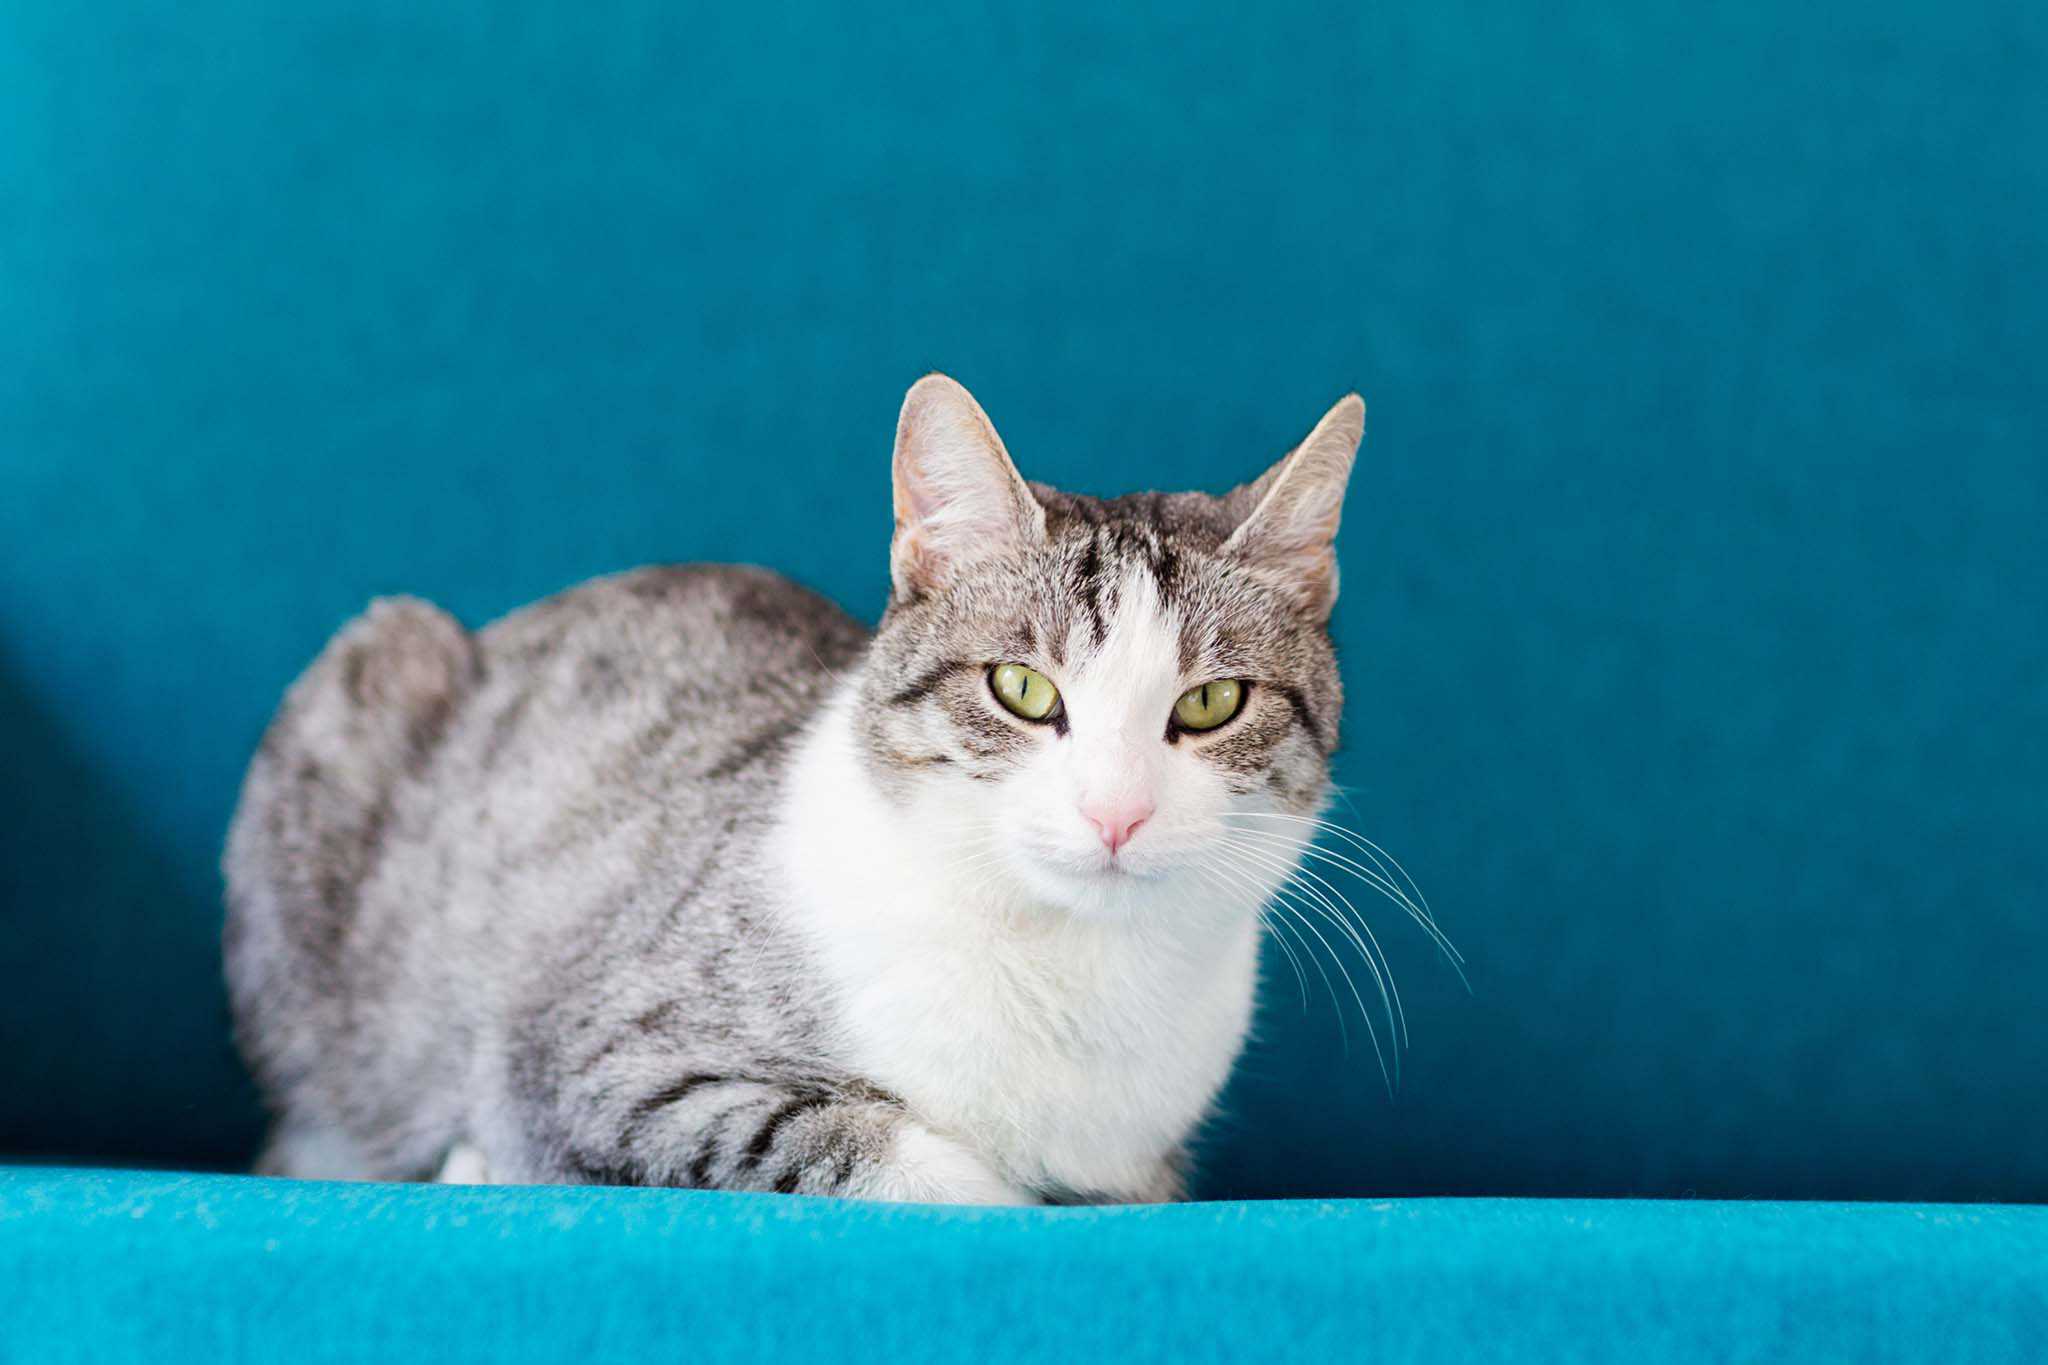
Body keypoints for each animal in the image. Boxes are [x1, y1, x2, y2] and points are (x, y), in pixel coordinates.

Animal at [224, 374, 1368, 1203]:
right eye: (1021, 688)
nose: (1115, 811)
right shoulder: (589, 1062)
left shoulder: (1145, 1165)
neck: (1071, 974)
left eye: (1211, 701)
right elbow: (891, 1156)